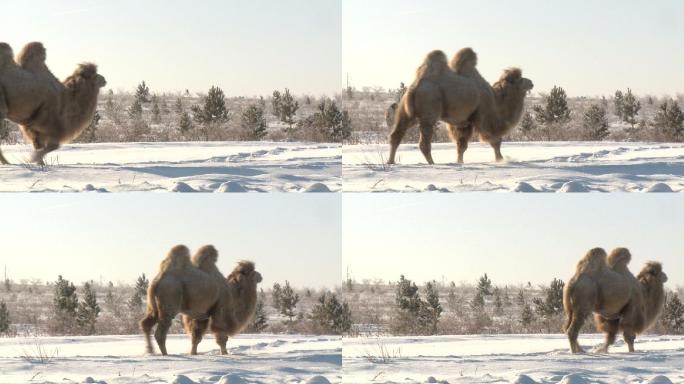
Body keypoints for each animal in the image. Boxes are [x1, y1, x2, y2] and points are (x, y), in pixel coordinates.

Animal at [388, 47, 532, 164]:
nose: (531, 82)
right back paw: (432, 163)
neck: (496, 100)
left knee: (396, 134)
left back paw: (391, 162)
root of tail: (416, 86)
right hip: (429, 111)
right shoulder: (483, 116)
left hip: (408, 113)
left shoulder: (463, 123)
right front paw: (500, 159)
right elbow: (495, 140)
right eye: (520, 80)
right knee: (424, 142)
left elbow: (461, 145)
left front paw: (459, 162)